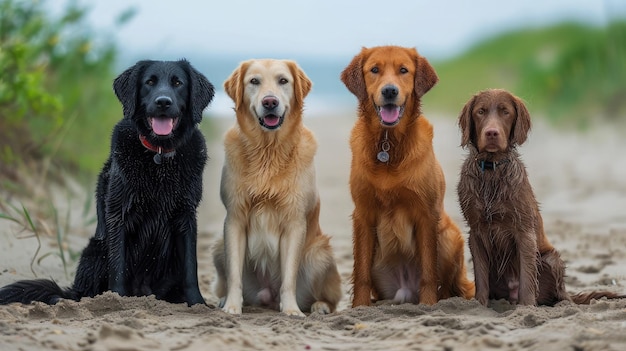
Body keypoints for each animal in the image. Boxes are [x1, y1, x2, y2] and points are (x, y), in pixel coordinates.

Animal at [0, 59, 214, 306]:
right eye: (149, 82)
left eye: (178, 83)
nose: (163, 102)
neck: (158, 156)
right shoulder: (118, 214)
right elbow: (118, 265)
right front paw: (116, 300)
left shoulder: (186, 216)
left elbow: (190, 268)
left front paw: (197, 303)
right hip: (96, 248)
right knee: (77, 294)